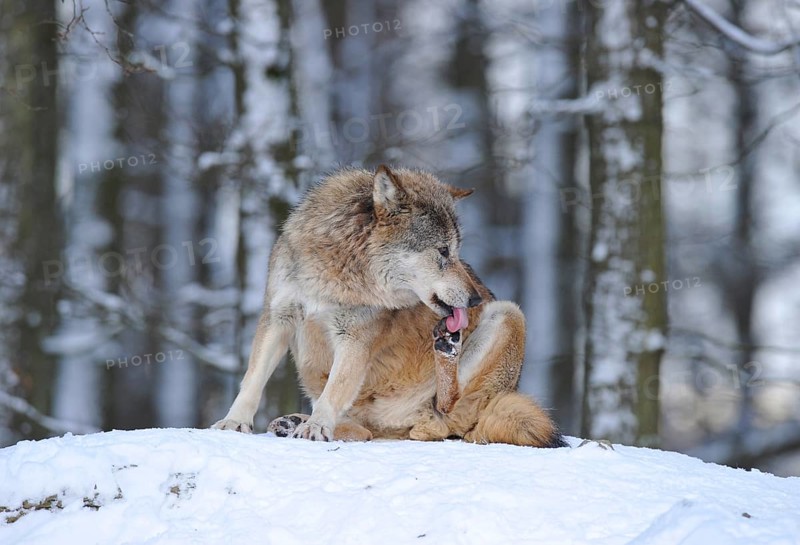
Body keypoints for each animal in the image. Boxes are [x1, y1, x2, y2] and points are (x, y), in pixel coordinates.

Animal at [212, 165, 565, 448]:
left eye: (456, 251)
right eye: (443, 251)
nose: (476, 298)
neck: (336, 274)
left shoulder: (355, 338)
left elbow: (334, 391)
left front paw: (316, 427)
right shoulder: (277, 317)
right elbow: (253, 380)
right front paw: (233, 423)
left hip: (509, 314)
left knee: (447, 416)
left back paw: (447, 350)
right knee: (368, 431)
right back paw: (292, 422)